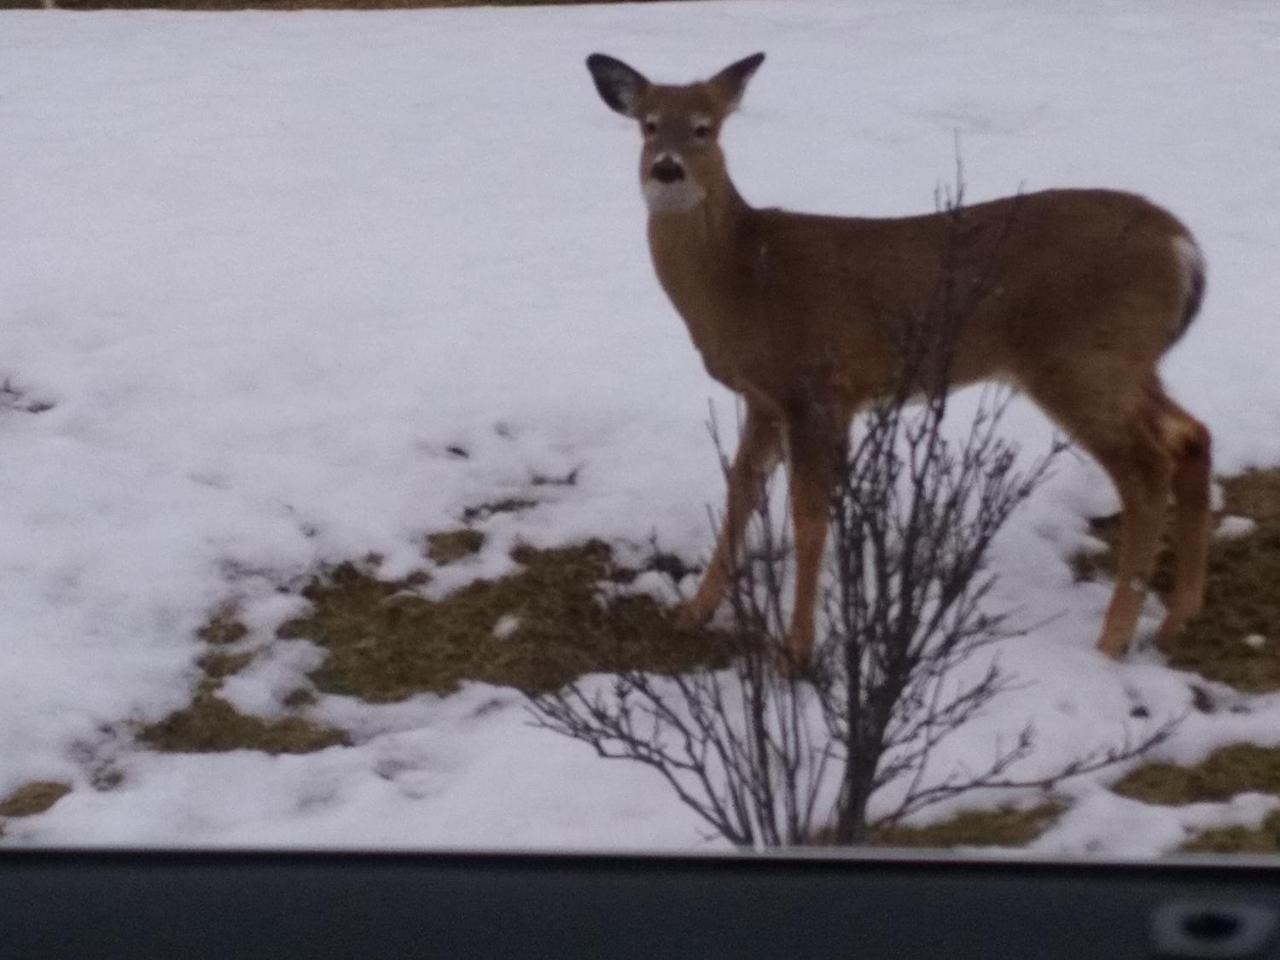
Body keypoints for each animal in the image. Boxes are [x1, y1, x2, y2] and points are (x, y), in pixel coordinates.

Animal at [586, 52, 1213, 670]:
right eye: (648, 125)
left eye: (705, 127)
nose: (667, 171)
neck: (742, 278)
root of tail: (1183, 247)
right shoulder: (766, 399)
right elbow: (740, 500)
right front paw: (693, 612)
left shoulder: (816, 388)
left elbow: (809, 519)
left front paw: (798, 648)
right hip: (1125, 363)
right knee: (1191, 435)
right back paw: (1177, 621)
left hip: (1079, 359)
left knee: (1147, 471)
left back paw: (1114, 640)